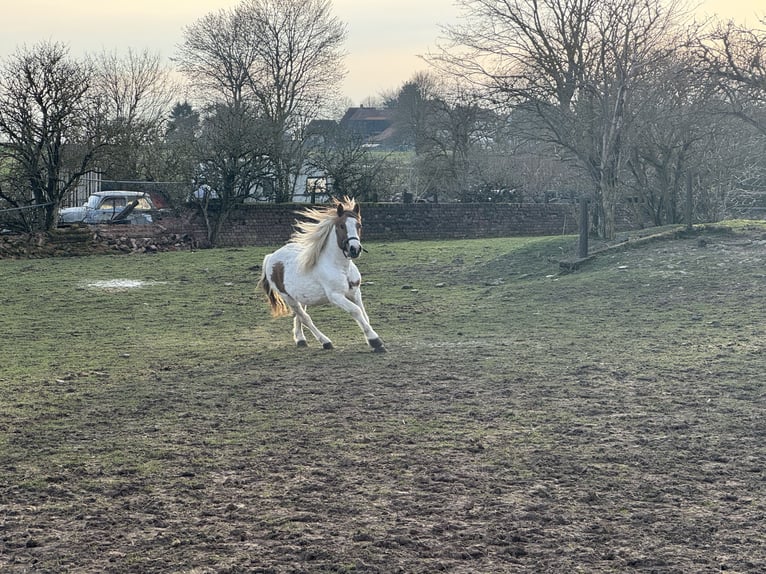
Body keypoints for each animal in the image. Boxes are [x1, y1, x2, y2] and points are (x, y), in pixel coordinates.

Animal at [257, 197, 386, 352]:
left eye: (359, 225)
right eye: (341, 226)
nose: (354, 249)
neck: (341, 267)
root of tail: (271, 257)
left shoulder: (355, 292)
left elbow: (364, 314)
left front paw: (372, 340)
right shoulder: (336, 296)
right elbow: (356, 311)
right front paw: (375, 341)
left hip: (300, 297)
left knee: (299, 317)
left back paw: (300, 339)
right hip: (288, 297)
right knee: (305, 318)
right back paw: (325, 342)